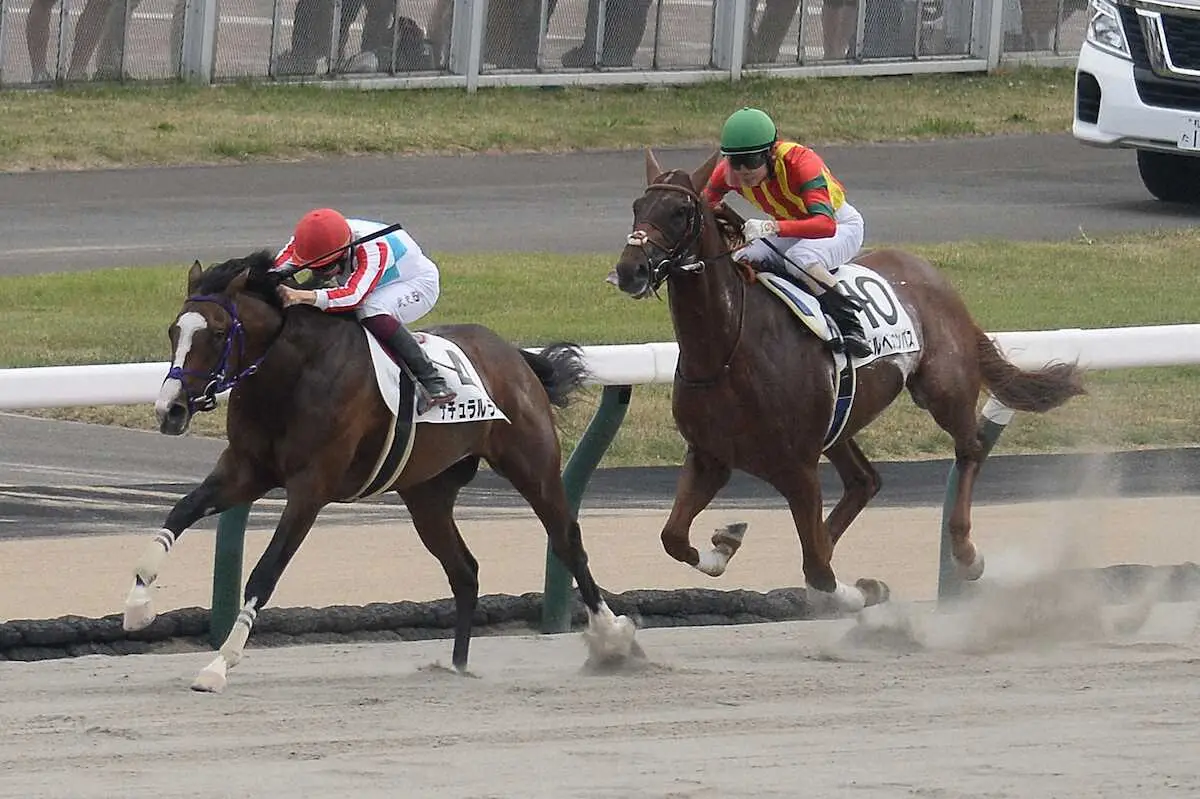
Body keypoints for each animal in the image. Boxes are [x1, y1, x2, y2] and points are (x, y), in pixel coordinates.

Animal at [124, 250, 638, 691]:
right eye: (173, 331)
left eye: (214, 333)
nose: (170, 410)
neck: (292, 373)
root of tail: (516, 355)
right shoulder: (246, 470)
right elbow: (179, 513)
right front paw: (137, 607)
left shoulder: (310, 488)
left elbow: (264, 573)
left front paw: (217, 665)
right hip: (428, 492)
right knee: (464, 570)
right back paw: (456, 665)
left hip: (531, 463)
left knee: (567, 541)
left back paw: (613, 639)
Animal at [609, 149, 1089, 609]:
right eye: (637, 206)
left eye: (678, 211)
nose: (630, 270)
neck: (726, 352)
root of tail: (935, 277)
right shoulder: (709, 457)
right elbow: (673, 538)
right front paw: (726, 543)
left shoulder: (798, 468)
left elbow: (820, 570)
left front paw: (861, 591)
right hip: (840, 421)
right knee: (864, 481)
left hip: (943, 388)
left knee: (969, 450)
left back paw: (967, 554)